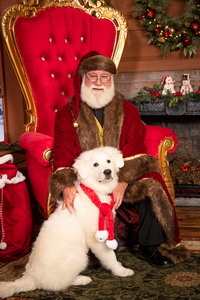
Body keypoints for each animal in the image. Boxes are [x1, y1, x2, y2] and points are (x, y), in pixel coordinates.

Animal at [0, 146, 134, 298]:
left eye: (108, 161)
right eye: (95, 164)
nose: (107, 171)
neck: (95, 191)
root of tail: (31, 277)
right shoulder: (96, 236)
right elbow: (110, 256)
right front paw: (121, 271)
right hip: (78, 255)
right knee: (60, 284)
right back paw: (82, 279)